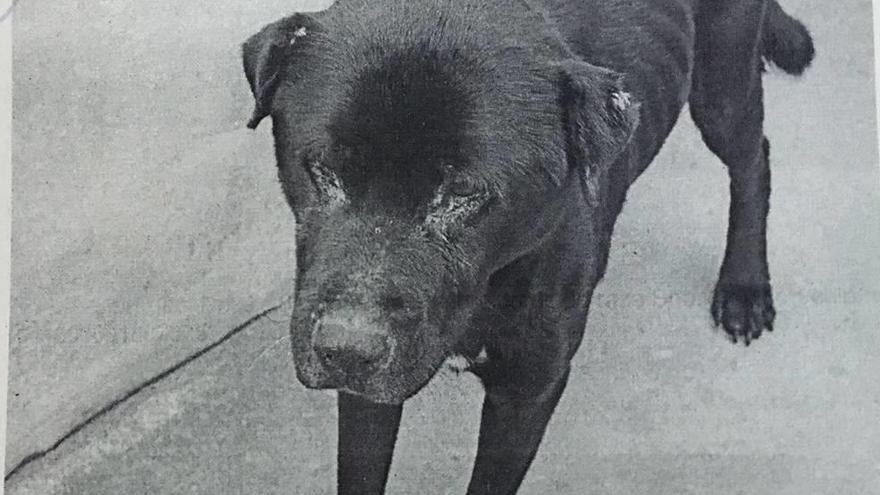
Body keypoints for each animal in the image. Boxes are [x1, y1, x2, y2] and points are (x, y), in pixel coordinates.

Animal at [244, 1, 816, 494]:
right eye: (323, 169)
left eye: (463, 192)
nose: (346, 348)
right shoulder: (366, 391)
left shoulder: (528, 389)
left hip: (723, 82)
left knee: (754, 161)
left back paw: (745, 288)